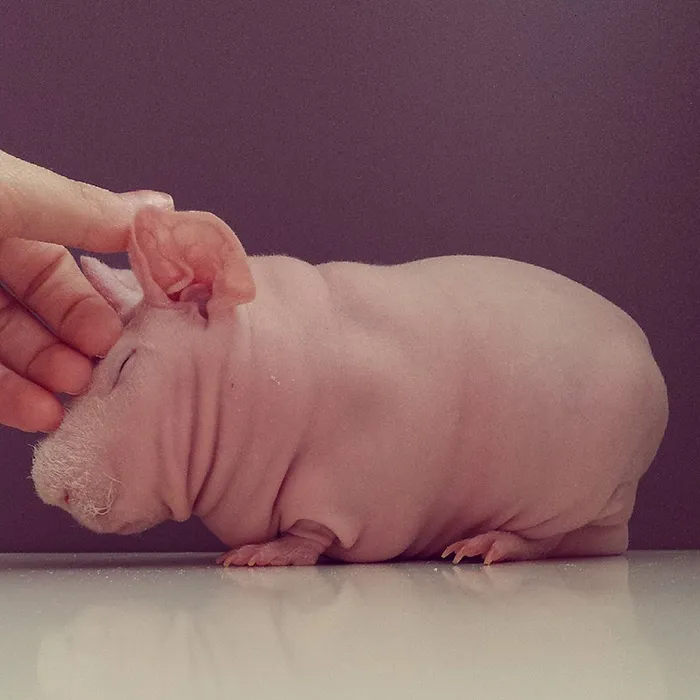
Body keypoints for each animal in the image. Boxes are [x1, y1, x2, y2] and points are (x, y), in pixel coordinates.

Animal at [31, 207, 668, 566]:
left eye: (124, 367)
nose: (47, 486)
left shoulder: (353, 475)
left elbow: (314, 531)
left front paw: (268, 552)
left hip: (578, 491)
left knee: (558, 539)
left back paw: (492, 544)